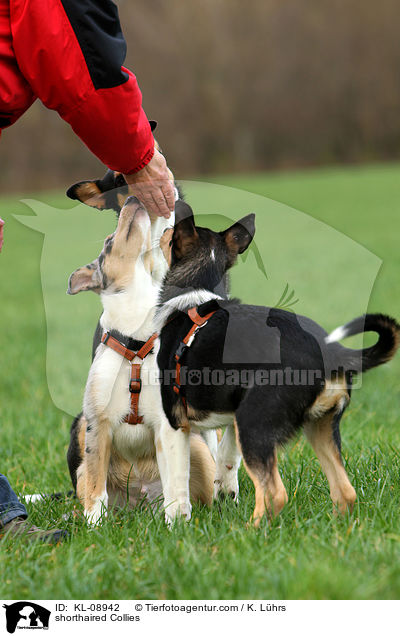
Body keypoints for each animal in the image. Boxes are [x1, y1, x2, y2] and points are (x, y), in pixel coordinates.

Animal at [154, 200, 400, 528]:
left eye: (170, 236)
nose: (162, 228)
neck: (195, 297)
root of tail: (329, 350)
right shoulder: (229, 416)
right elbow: (225, 460)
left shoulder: (173, 424)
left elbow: (176, 487)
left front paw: (176, 525)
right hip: (318, 427)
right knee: (344, 491)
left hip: (254, 423)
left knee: (274, 493)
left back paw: (249, 531)